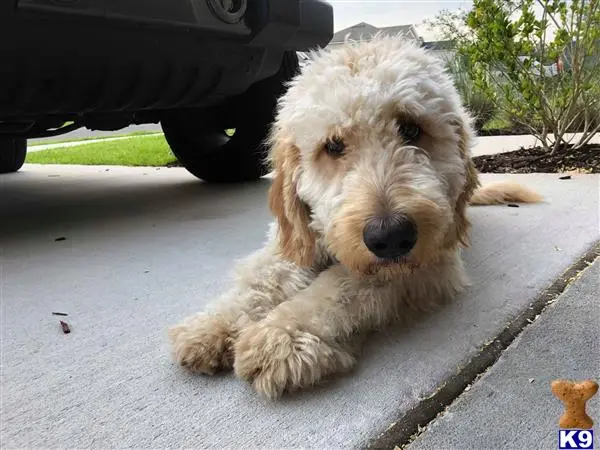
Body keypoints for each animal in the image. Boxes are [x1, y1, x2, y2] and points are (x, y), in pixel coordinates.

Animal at [166, 37, 540, 400]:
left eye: (411, 129)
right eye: (333, 145)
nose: (390, 236)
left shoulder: (430, 265)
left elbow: (342, 286)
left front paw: (283, 335)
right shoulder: (295, 240)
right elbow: (261, 280)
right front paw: (214, 325)